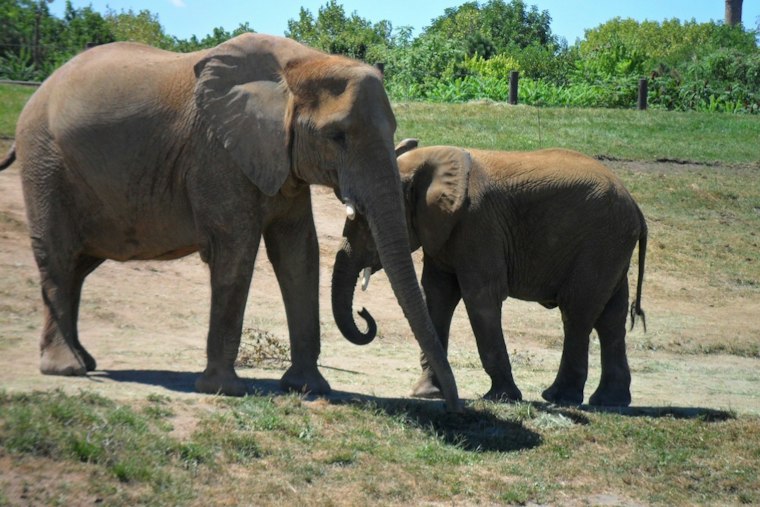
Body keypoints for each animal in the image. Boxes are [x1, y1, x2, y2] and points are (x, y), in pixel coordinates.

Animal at [0, 34, 461, 410]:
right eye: (337, 137)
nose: (453, 407)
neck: (300, 65)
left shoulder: (278, 158)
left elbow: (299, 254)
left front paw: (309, 389)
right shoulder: (218, 154)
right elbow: (236, 249)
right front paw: (224, 390)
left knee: (79, 265)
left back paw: (85, 360)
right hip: (45, 163)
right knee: (60, 257)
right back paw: (67, 369)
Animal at [332, 141, 647, 407]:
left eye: (367, 222)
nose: (364, 312)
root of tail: (636, 207)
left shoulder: (478, 225)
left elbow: (480, 297)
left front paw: (501, 398)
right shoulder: (444, 232)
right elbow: (437, 296)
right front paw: (427, 394)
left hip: (600, 243)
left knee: (577, 312)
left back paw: (559, 398)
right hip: (612, 247)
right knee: (611, 318)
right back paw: (609, 401)